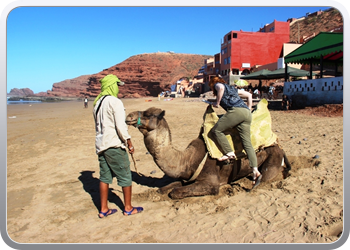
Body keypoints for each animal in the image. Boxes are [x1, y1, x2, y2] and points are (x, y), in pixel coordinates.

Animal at [124, 105, 292, 199]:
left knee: (268, 176)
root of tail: (279, 147)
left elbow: (175, 192)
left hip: (272, 160)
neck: (188, 160)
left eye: (149, 114)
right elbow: (164, 188)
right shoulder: (185, 177)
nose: (129, 116)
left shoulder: (210, 181)